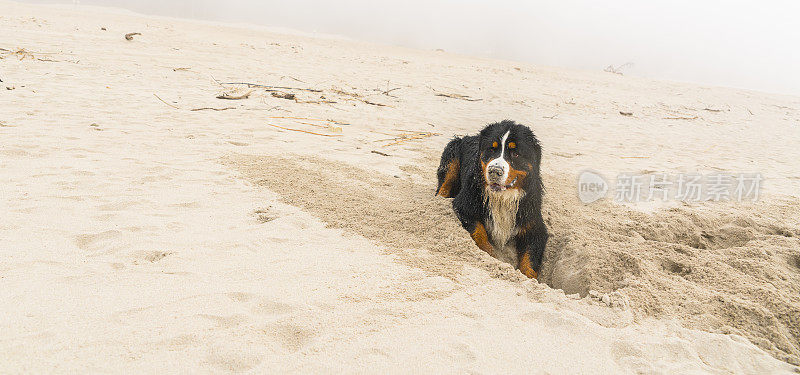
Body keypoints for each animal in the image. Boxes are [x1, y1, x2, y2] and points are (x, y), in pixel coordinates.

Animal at [434, 120, 548, 280]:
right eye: (491, 150)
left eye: (515, 153)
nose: (495, 170)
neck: (502, 198)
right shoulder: (463, 206)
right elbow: (479, 232)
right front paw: (492, 256)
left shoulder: (534, 227)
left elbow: (530, 260)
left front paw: (527, 277)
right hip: (453, 150)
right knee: (444, 185)